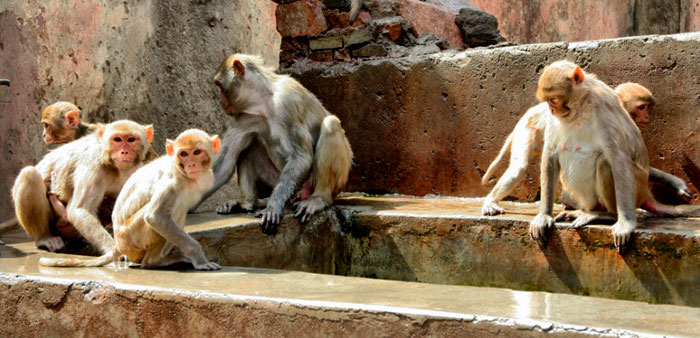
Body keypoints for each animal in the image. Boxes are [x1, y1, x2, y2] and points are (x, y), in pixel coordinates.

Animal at [10, 120, 154, 252]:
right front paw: (115, 252)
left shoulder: (137, 170)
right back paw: (45, 237)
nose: (124, 152)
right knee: (30, 175)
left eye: (131, 140)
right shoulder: (93, 165)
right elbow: (80, 210)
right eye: (117, 139)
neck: (116, 168)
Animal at [41, 128, 221, 270]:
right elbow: (155, 217)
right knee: (167, 215)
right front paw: (200, 260)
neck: (186, 176)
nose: (191, 164)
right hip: (132, 239)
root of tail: (118, 245)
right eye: (183, 154)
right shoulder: (171, 183)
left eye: (196, 152)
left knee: (179, 212)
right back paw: (154, 262)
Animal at [189, 54, 352, 236]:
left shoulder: (287, 101)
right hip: (275, 177)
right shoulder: (246, 116)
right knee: (250, 144)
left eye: (219, 85)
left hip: (329, 179)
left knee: (331, 124)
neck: (263, 101)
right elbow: (225, 162)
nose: (220, 101)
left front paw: (273, 207)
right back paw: (247, 201)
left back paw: (319, 198)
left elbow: (301, 156)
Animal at [478, 81, 692, 217]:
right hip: (527, 130)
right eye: (642, 107)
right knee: (520, 166)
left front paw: (676, 183)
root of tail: (526, 116)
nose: (647, 117)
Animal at [528, 61, 700, 251]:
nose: (552, 109)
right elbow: (551, 154)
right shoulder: (554, 120)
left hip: (637, 187)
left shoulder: (603, 110)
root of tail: (645, 193)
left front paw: (626, 224)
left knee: (605, 163)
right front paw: (544, 216)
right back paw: (587, 211)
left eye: (554, 99)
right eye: (547, 101)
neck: (579, 108)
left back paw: (608, 215)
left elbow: (618, 157)